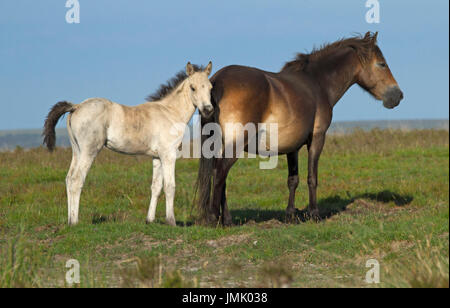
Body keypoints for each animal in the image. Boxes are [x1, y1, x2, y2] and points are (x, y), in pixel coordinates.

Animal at [43, 62, 214, 226]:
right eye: (193, 87)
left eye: (210, 88)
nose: (208, 110)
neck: (170, 112)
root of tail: (76, 106)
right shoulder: (168, 155)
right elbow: (170, 187)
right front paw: (171, 221)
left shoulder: (157, 157)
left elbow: (156, 187)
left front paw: (149, 219)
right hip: (89, 151)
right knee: (76, 180)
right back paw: (74, 222)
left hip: (77, 151)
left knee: (68, 179)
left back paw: (69, 220)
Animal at [197, 31, 404, 225]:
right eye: (382, 64)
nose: (398, 95)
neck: (317, 83)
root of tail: (218, 81)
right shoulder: (317, 138)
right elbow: (312, 177)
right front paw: (314, 214)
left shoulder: (292, 146)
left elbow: (293, 179)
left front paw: (290, 214)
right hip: (235, 144)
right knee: (220, 172)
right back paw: (214, 217)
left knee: (219, 174)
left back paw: (227, 219)